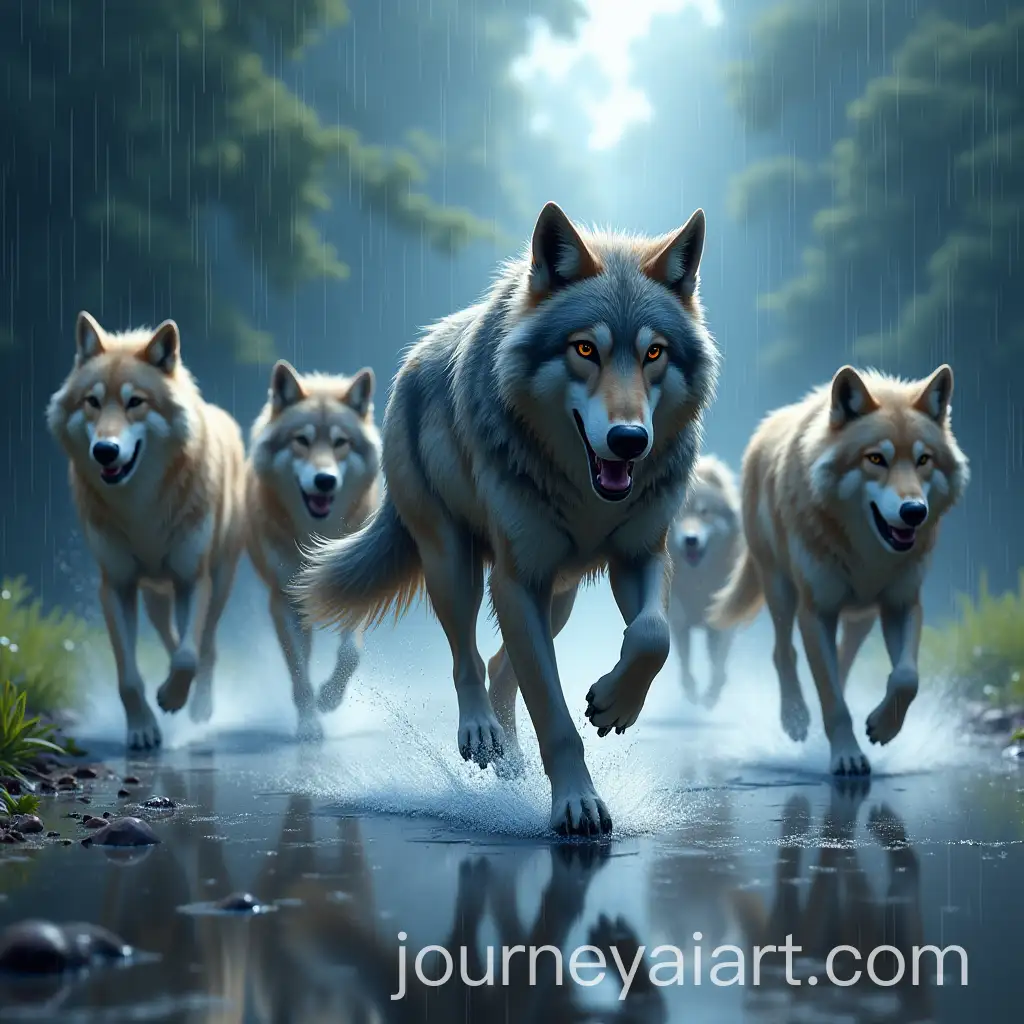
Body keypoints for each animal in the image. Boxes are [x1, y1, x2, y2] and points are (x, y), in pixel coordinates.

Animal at [46, 312, 247, 750]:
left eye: (135, 402)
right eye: (92, 402)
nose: (104, 451)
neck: (141, 509)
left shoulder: (193, 579)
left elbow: (189, 656)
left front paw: (174, 699)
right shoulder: (116, 585)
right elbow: (129, 676)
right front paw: (142, 728)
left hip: (218, 582)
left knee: (206, 646)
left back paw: (198, 707)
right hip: (155, 594)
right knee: (172, 637)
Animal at [245, 360, 381, 740]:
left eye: (340, 443)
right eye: (302, 440)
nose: (324, 480)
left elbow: (350, 654)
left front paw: (329, 699)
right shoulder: (284, 603)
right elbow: (298, 674)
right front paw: (309, 725)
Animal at [293, 201, 719, 837]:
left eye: (654, 353)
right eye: (585, 350)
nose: (629, 440)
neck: (586, 495)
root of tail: (414, 356)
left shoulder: (640, 556)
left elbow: (652, 636)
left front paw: (614, 702)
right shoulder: (517, 581)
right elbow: (554, 714)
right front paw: (577, 805)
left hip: (559, 596)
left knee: (501, 665)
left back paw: (510, 757)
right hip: (457, 564)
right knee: (467, 656)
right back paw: (480, 734)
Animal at [666, 455, 743, 708]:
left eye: (704, 513)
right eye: (677, 515)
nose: (690, 540)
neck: (698, 583)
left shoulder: (720, 625)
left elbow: (717, 665)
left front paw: (711, 696)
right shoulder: (679, 622)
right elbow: (685, 663)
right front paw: (692, 691)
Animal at [708, 364, 969, 775]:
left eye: (923, 459)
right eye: (876, 459)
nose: (914, 511)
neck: (868, 555)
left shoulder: (902, 604)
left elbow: (906, 677)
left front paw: (882, 726)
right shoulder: (816, 612)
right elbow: (831, 698)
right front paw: (846, 755)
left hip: (861, 616)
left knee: (843, 663)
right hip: (781, 592)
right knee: (784, 653)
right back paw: (796, 719)